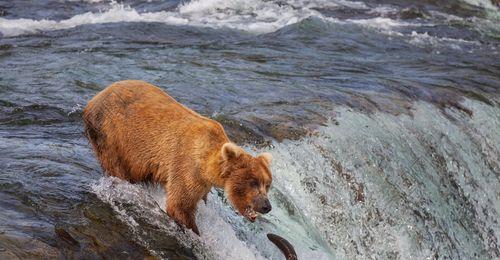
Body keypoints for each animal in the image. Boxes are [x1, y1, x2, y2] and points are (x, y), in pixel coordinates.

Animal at [83, 80, 274, 235]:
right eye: (253, 182)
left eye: (268, 184)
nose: (266, 206)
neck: (207, 165)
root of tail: (94, 98)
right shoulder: (186, 166)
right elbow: (180, 205)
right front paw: (195, 231)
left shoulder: (202, 182)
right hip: (112, 135)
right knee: (117, 167)